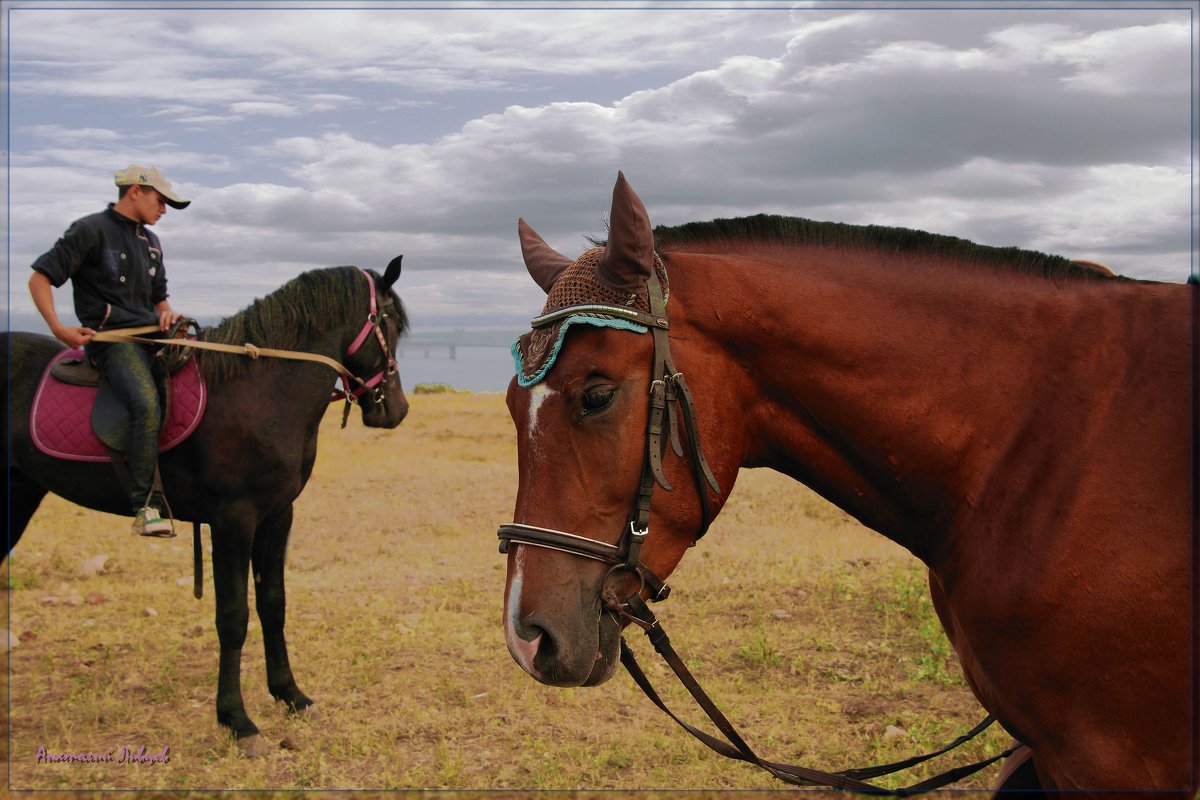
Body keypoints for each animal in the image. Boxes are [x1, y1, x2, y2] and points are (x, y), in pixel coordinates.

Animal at [4, 257, 410, 758]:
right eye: (389, 323)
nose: (396, 409)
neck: (261, 391)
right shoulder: (232, 519)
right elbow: (233, 617)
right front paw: (238, 720)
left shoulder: (278, 515)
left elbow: (274, 604)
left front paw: (290, 695)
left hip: (20, 492)